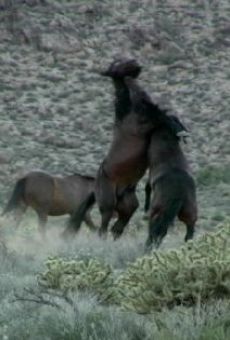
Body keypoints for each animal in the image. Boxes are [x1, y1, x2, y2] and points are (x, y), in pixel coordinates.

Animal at [62, 58, 187, 239]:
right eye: (117, 67)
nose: (136, 65)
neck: (127, 110)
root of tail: (95, 187)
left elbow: (168, 116)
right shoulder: (146, 123)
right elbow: (163, 118)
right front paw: (179, 131)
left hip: (127, 206)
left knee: (118, 227)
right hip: (108, 204)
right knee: (103, 227)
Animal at [145, 119, 197, 250]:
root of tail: (179, 192)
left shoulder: (151, 170)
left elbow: (147, 186)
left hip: (157, 210)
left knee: (154, 231)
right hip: (189, 211)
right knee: (188, 233)